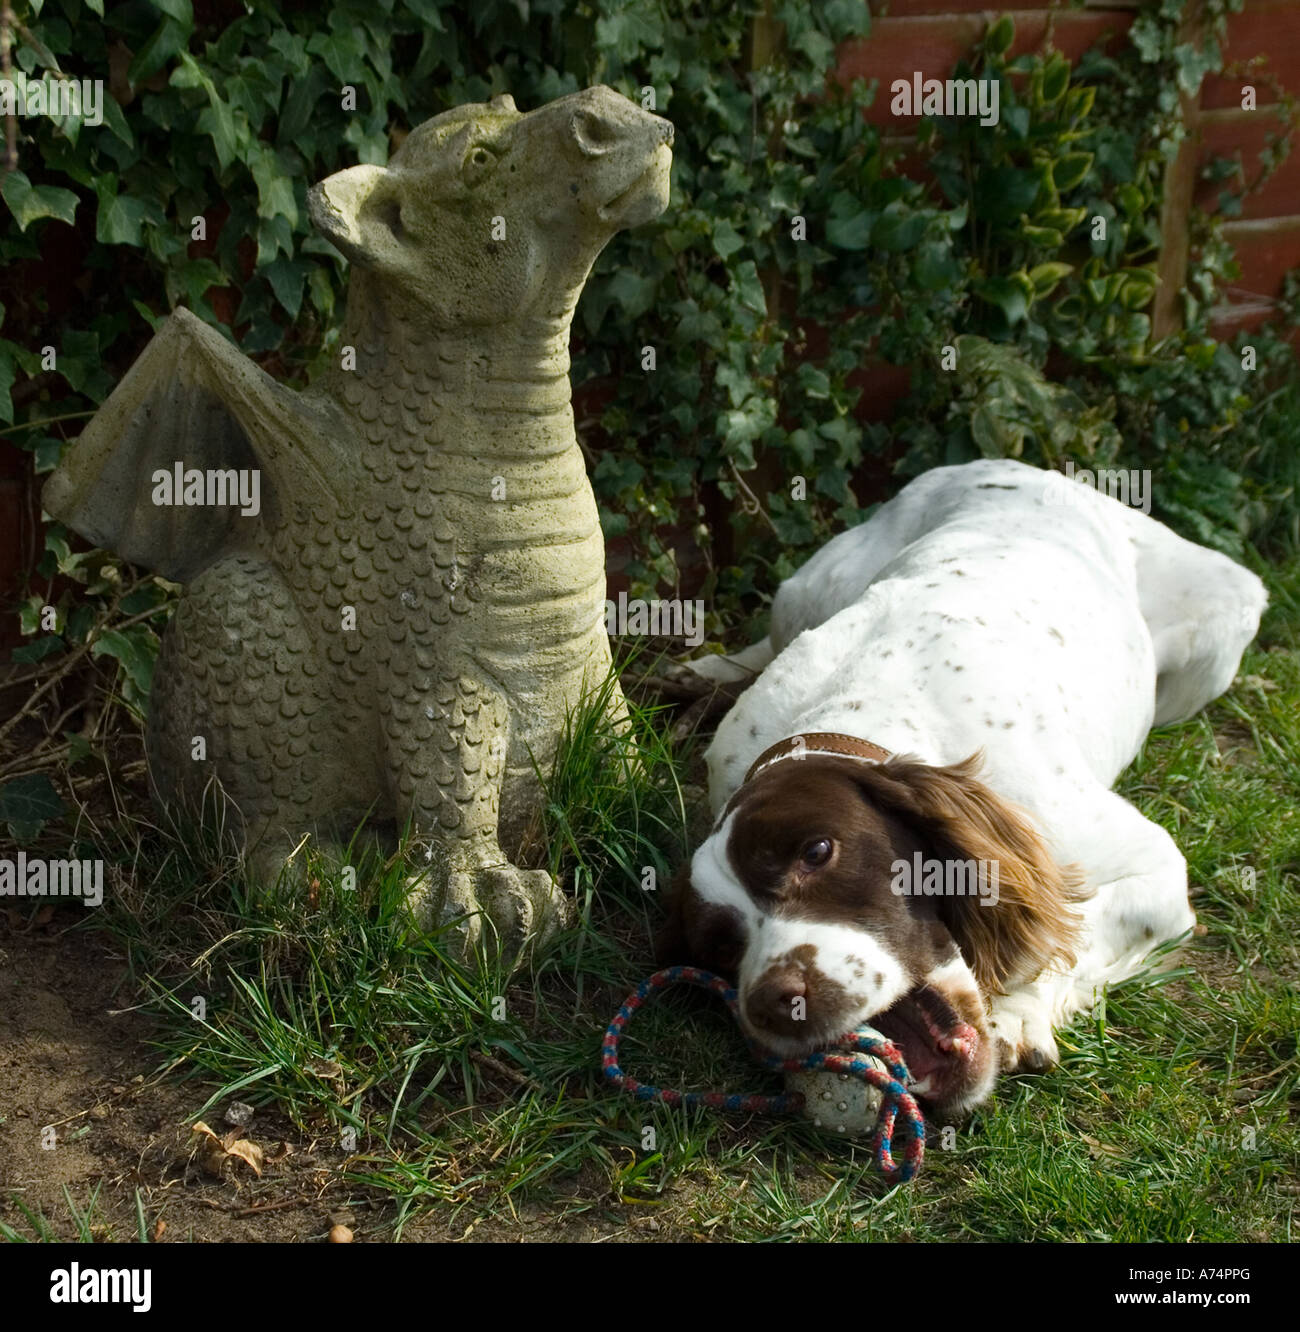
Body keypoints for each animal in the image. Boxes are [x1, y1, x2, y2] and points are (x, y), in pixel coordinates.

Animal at [655, 463, 1262, 1118]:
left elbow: (1071, 929)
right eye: (720, 948)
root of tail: (1018, 468)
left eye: (817, 852)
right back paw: (701, 671)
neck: (853, 714)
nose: (773, 1001)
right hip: (805, 592)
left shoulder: (1155, 866)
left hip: (1219, 632)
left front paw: (1020, 1013)